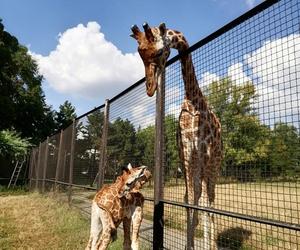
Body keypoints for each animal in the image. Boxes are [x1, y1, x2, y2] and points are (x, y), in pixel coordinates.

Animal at [131, 22, 223, 249]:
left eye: (159, 51)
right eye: (140, 54)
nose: (150, 89)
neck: (192, 101)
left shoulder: (202, 152)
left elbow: (201, 204)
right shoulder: (187, 153)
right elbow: (189, 200)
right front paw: (189, 245)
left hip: (214, 164)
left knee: (211, 201)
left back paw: (212, 245)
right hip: (200, 166)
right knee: (199, 196)